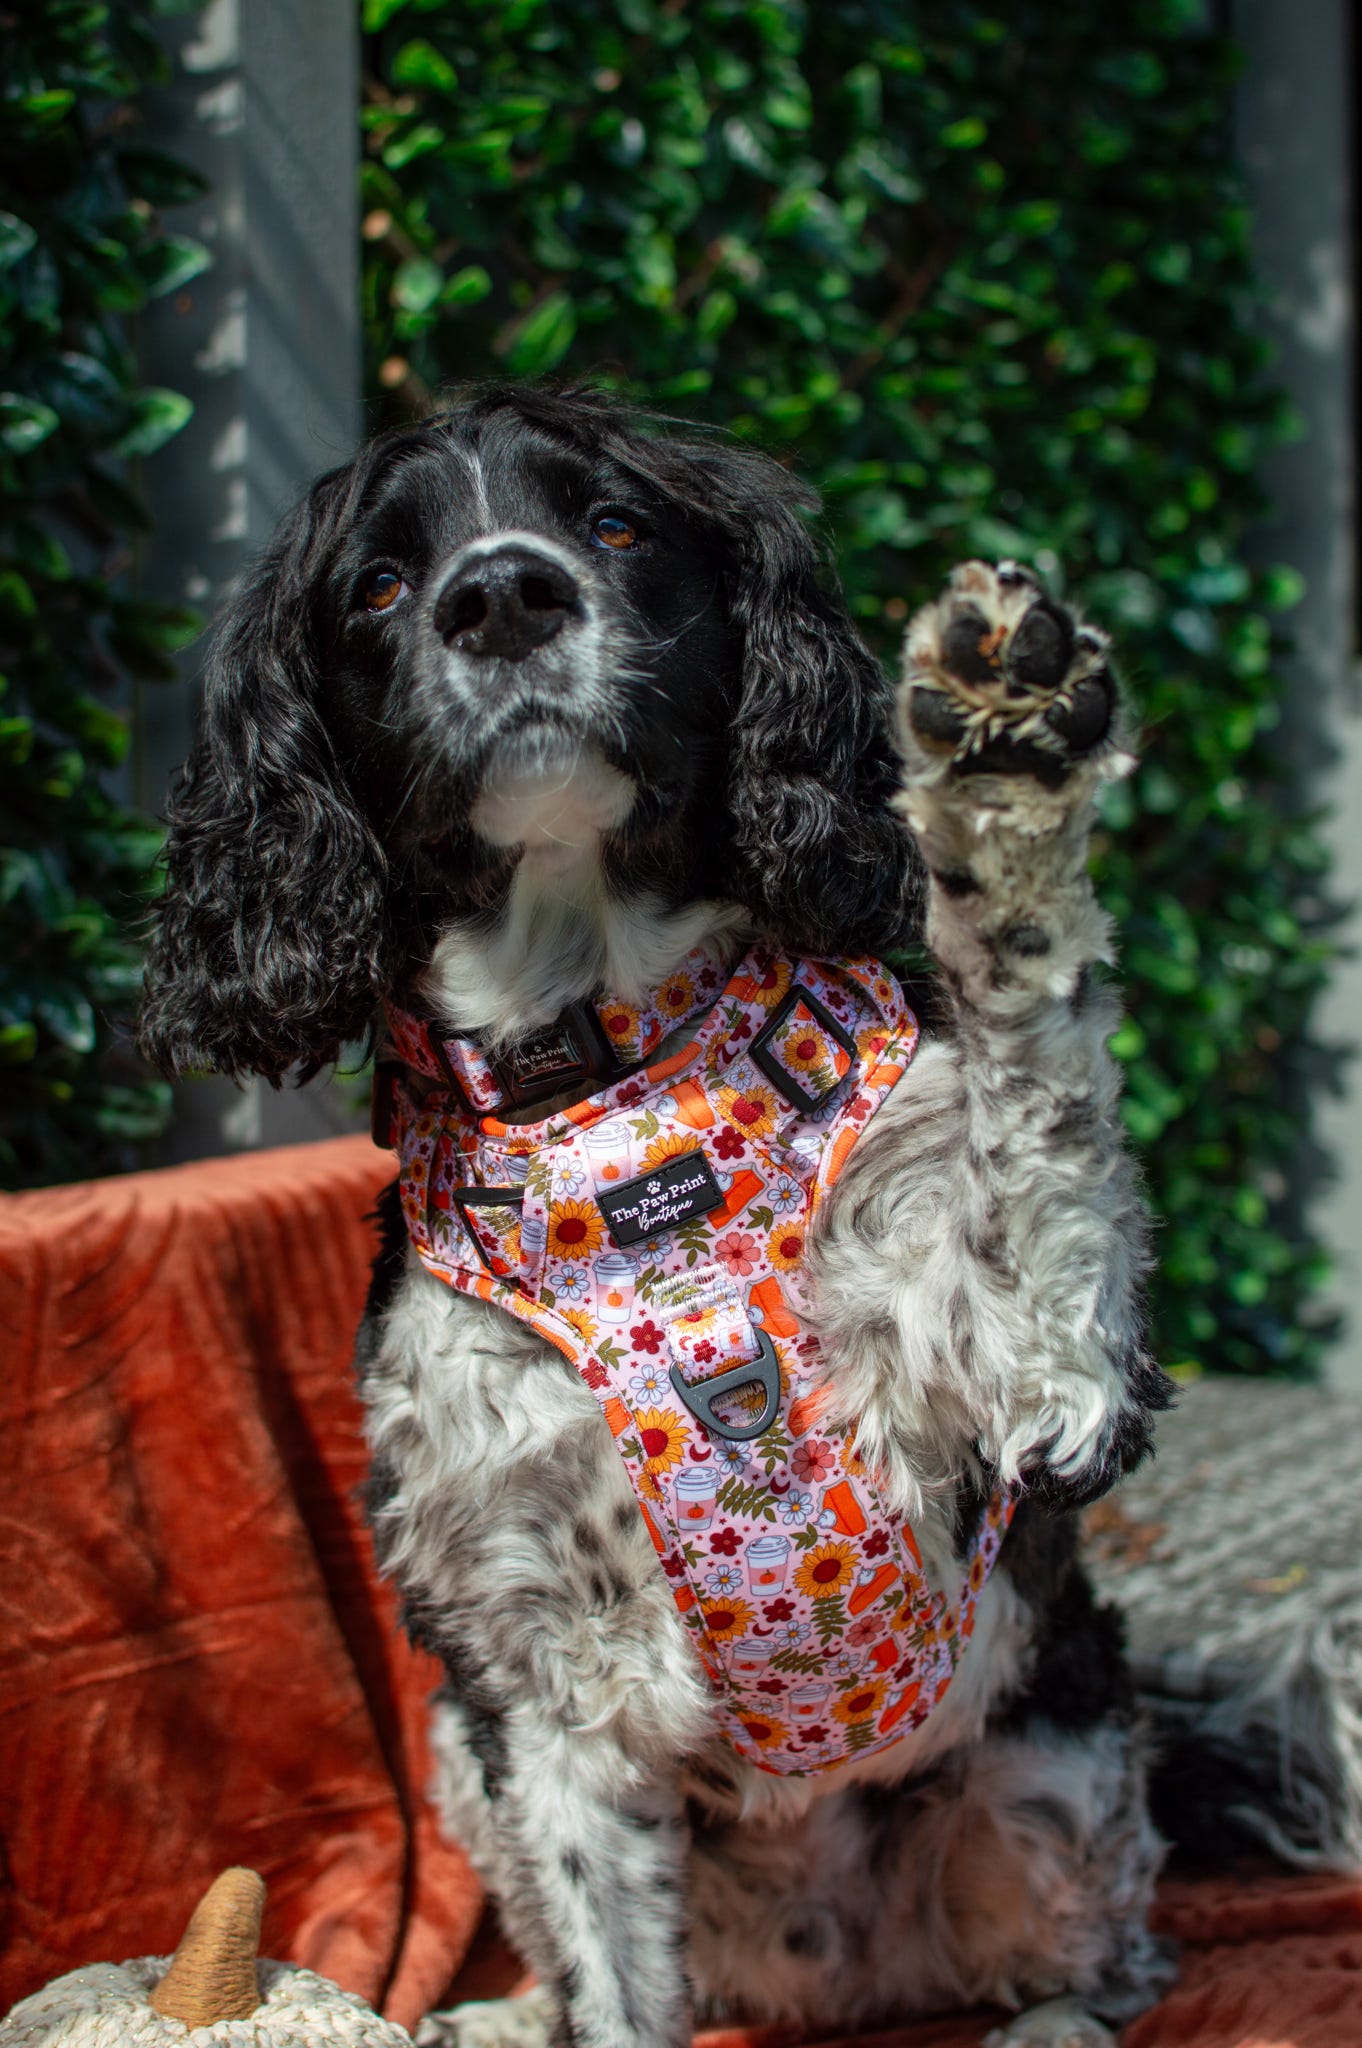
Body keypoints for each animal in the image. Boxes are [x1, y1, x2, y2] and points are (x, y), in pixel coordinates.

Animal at [143, 385, 1171, 2048]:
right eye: (377, 583)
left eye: (615, 524)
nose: (501, 594)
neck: (614, 1113)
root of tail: (824, 1967)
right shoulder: (532, 1673)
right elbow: (608, 1980)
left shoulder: (1028, 1401)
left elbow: (1034, 1086)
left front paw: (1003, 763)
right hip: (458, 1743)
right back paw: (497, 2014)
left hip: (1052, 1767)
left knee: (1105, 1955)